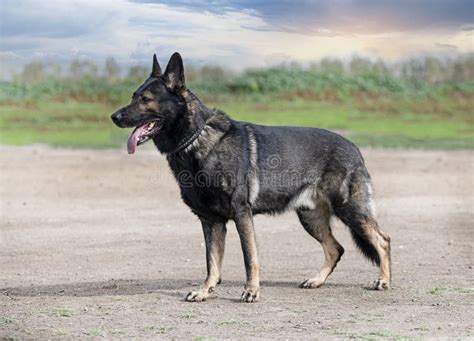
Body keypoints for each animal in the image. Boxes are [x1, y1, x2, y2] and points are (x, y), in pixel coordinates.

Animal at [112, 51, 392, 302]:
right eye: (133, 96)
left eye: (146, 99)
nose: (114, 117)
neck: (196, 139)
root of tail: (354, 147)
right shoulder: (210, 221)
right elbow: (212, 262)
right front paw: (205, 291)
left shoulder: (241, 214)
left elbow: (250, 257)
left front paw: (251, 291)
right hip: (310, 218)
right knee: (336, 249)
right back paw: (317, 280)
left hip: (350, 210)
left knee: (383, 240)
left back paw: (383, 280)